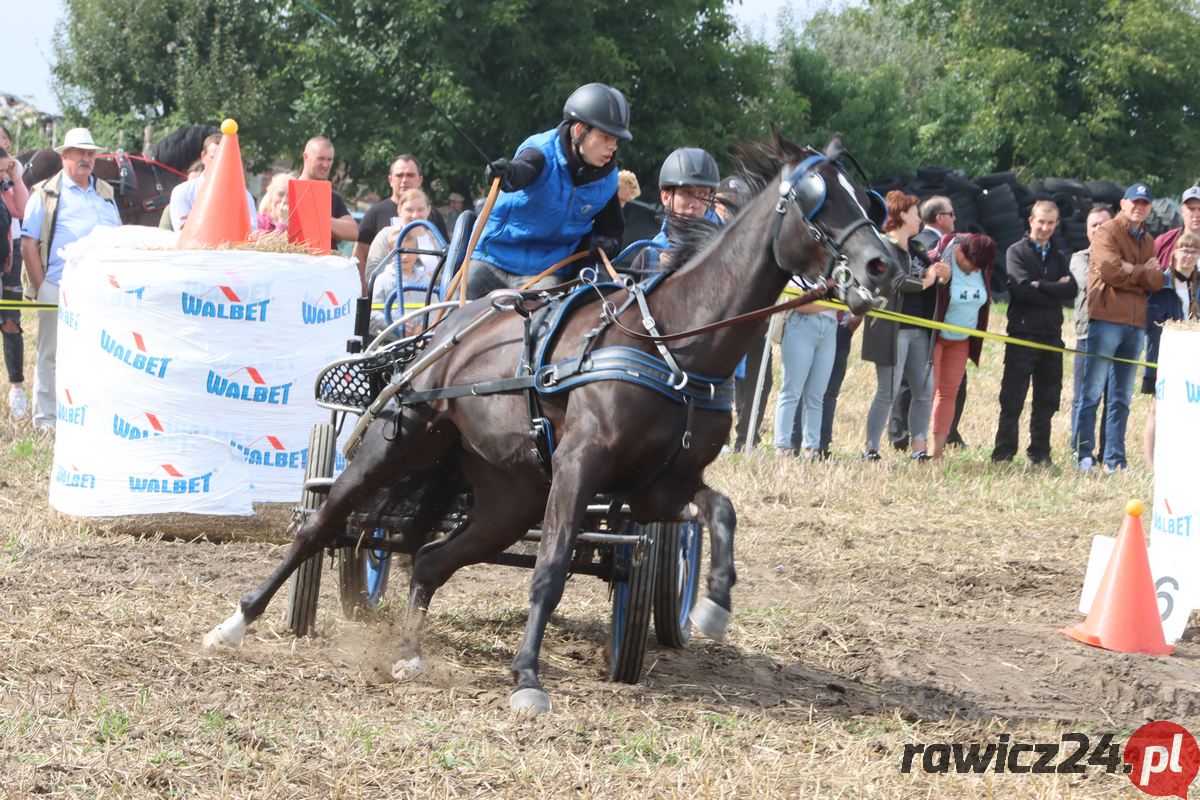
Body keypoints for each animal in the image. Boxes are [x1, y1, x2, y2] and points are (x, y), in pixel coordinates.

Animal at [204, 130, 902, 714]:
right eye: (816, 199)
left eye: (863, 196)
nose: (884, 265)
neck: (672, 345)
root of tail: (448, 328)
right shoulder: (578, 465)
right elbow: (552, 568)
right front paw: (527, 679)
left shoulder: (656, 488)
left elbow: (719, 512)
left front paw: (713, 605)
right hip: (395, 445)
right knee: (322, 523)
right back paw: (237, 621)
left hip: (506, 495)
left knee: (428, 559)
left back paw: (408, 653)